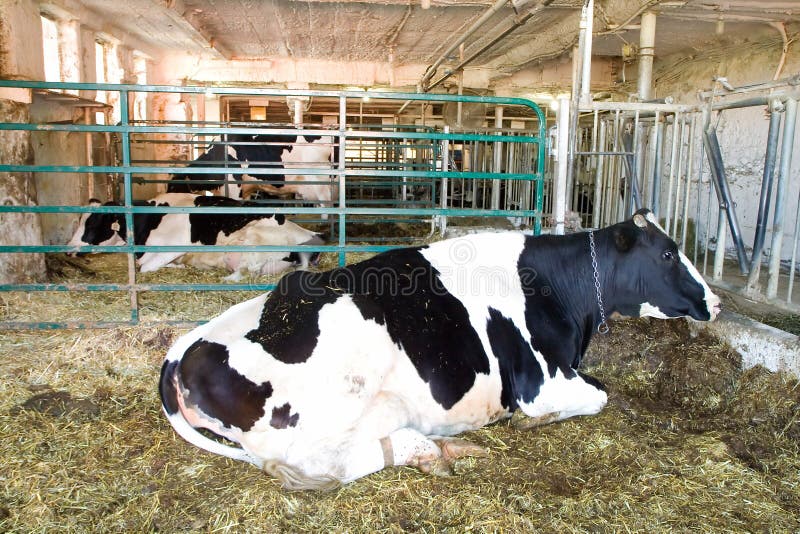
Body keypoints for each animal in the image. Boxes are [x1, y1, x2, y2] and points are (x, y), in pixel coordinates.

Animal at [159, 209, 720, 490]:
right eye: (668, 253)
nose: (714, 301)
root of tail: (184, 349)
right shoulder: (543, 381)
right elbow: (600, 394)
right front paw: (530, 423)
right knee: (329, 466)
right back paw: (427, 449)